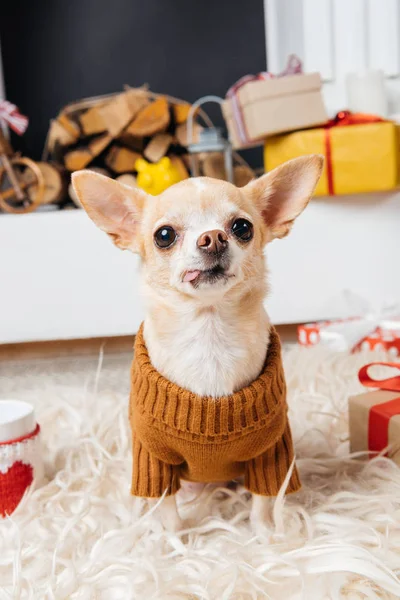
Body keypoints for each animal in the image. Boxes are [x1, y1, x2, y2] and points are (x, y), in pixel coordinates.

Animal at [71, 154, 322, 528]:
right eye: (164, 235)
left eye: (242, 228)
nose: (213, 238)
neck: (209, 329)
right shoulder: (154, 459)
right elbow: (168, 510)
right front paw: (176, 540)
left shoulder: (269, 452)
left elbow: (262, 504)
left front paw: (266, 535)